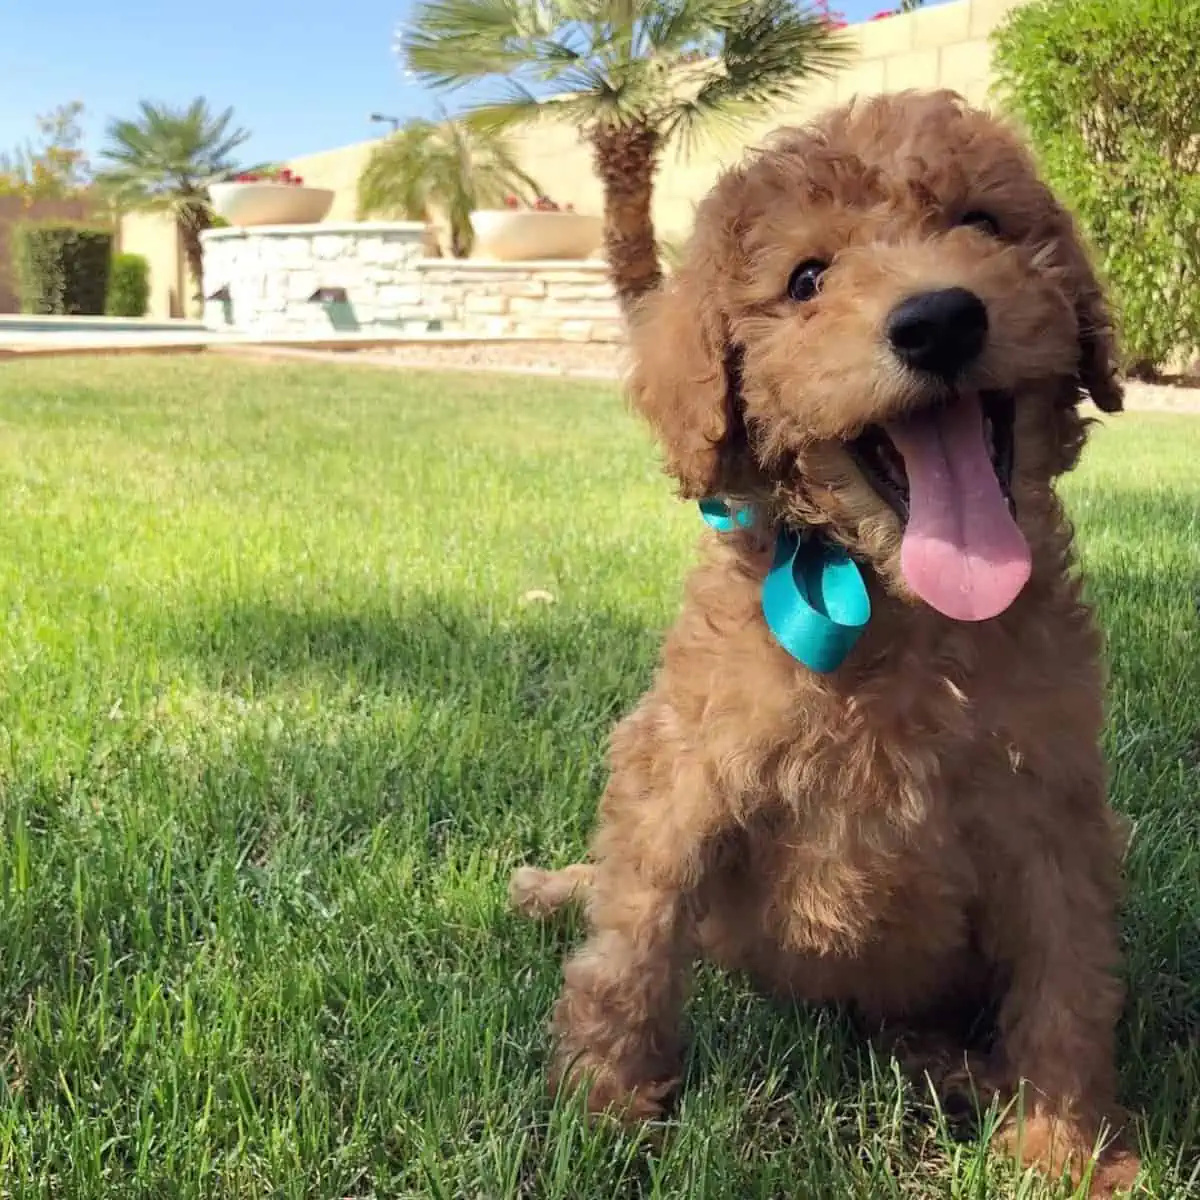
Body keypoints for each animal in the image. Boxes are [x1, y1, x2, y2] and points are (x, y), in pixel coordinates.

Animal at [511, 91, 1137, 1190]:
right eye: (807, 280)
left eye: (982, 223)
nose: (939, 320)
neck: (900, 609)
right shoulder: (681, 770)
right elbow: (632, 940)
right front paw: (604, 1109)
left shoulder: (1055, 812)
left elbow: (1067, 981)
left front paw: (1063, 1153)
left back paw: (956, 1067)